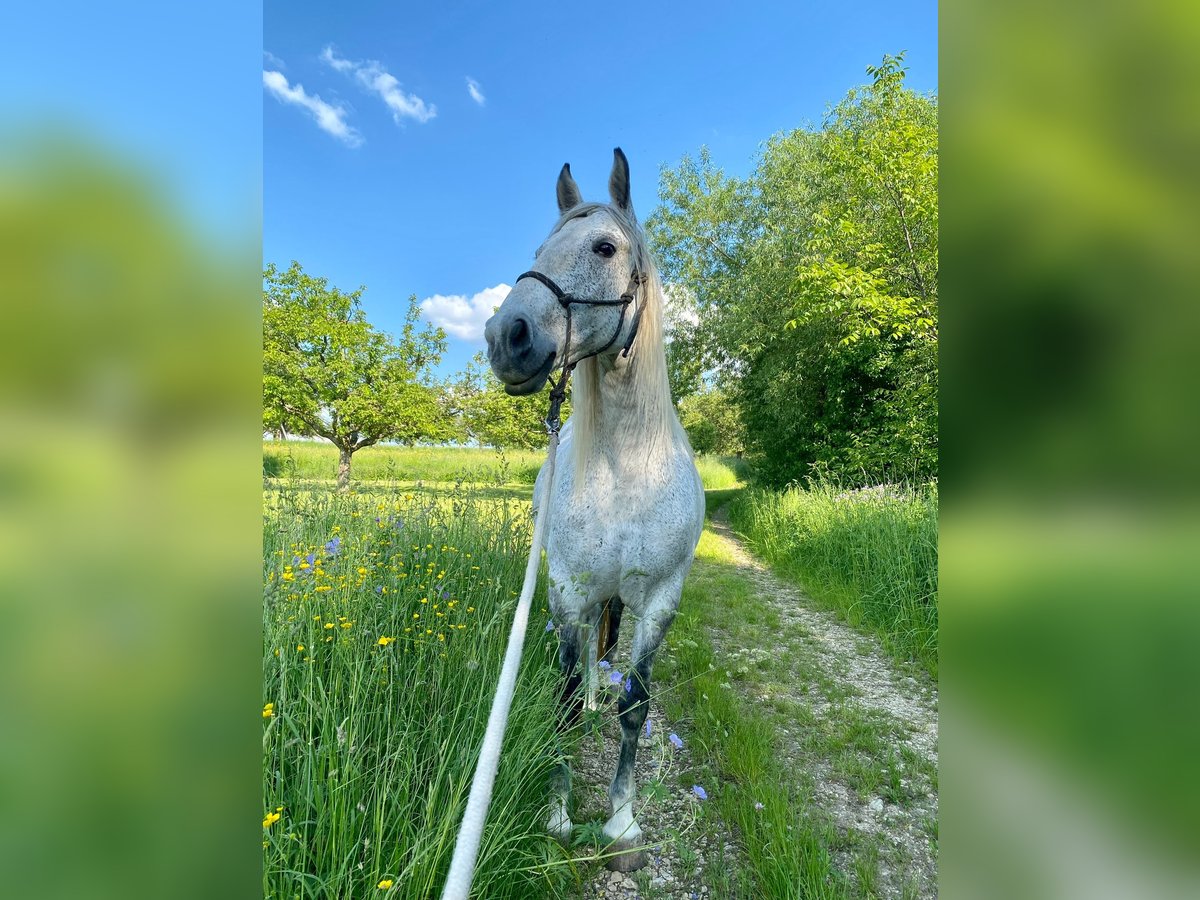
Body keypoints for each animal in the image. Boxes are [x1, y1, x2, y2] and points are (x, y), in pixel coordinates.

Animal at [482, 148, 700, 873]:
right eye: (539, 250)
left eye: (604, 247)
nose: (506, 335)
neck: (627, 470)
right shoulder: (567, 592)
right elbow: (566, 702)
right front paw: (556, 815)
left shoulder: (660, 599)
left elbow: (636, 706)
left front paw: (621, 824)